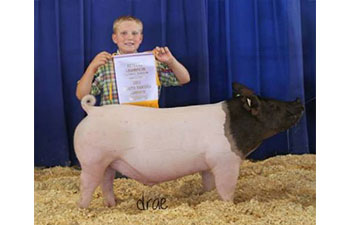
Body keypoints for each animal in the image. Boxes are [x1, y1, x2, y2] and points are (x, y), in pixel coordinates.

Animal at [73, 81, 304, 208]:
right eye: (273, 106)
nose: (298, 101)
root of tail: (93, 111)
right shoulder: (225, 161)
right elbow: (226, 188)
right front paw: (230, 205)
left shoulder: (208, 165)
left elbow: (209, 185)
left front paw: (208, 197)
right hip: (92, 160)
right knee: (86, 183)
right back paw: (84, 209)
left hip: (108, 162)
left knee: (106, 182)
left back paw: (112, 205)